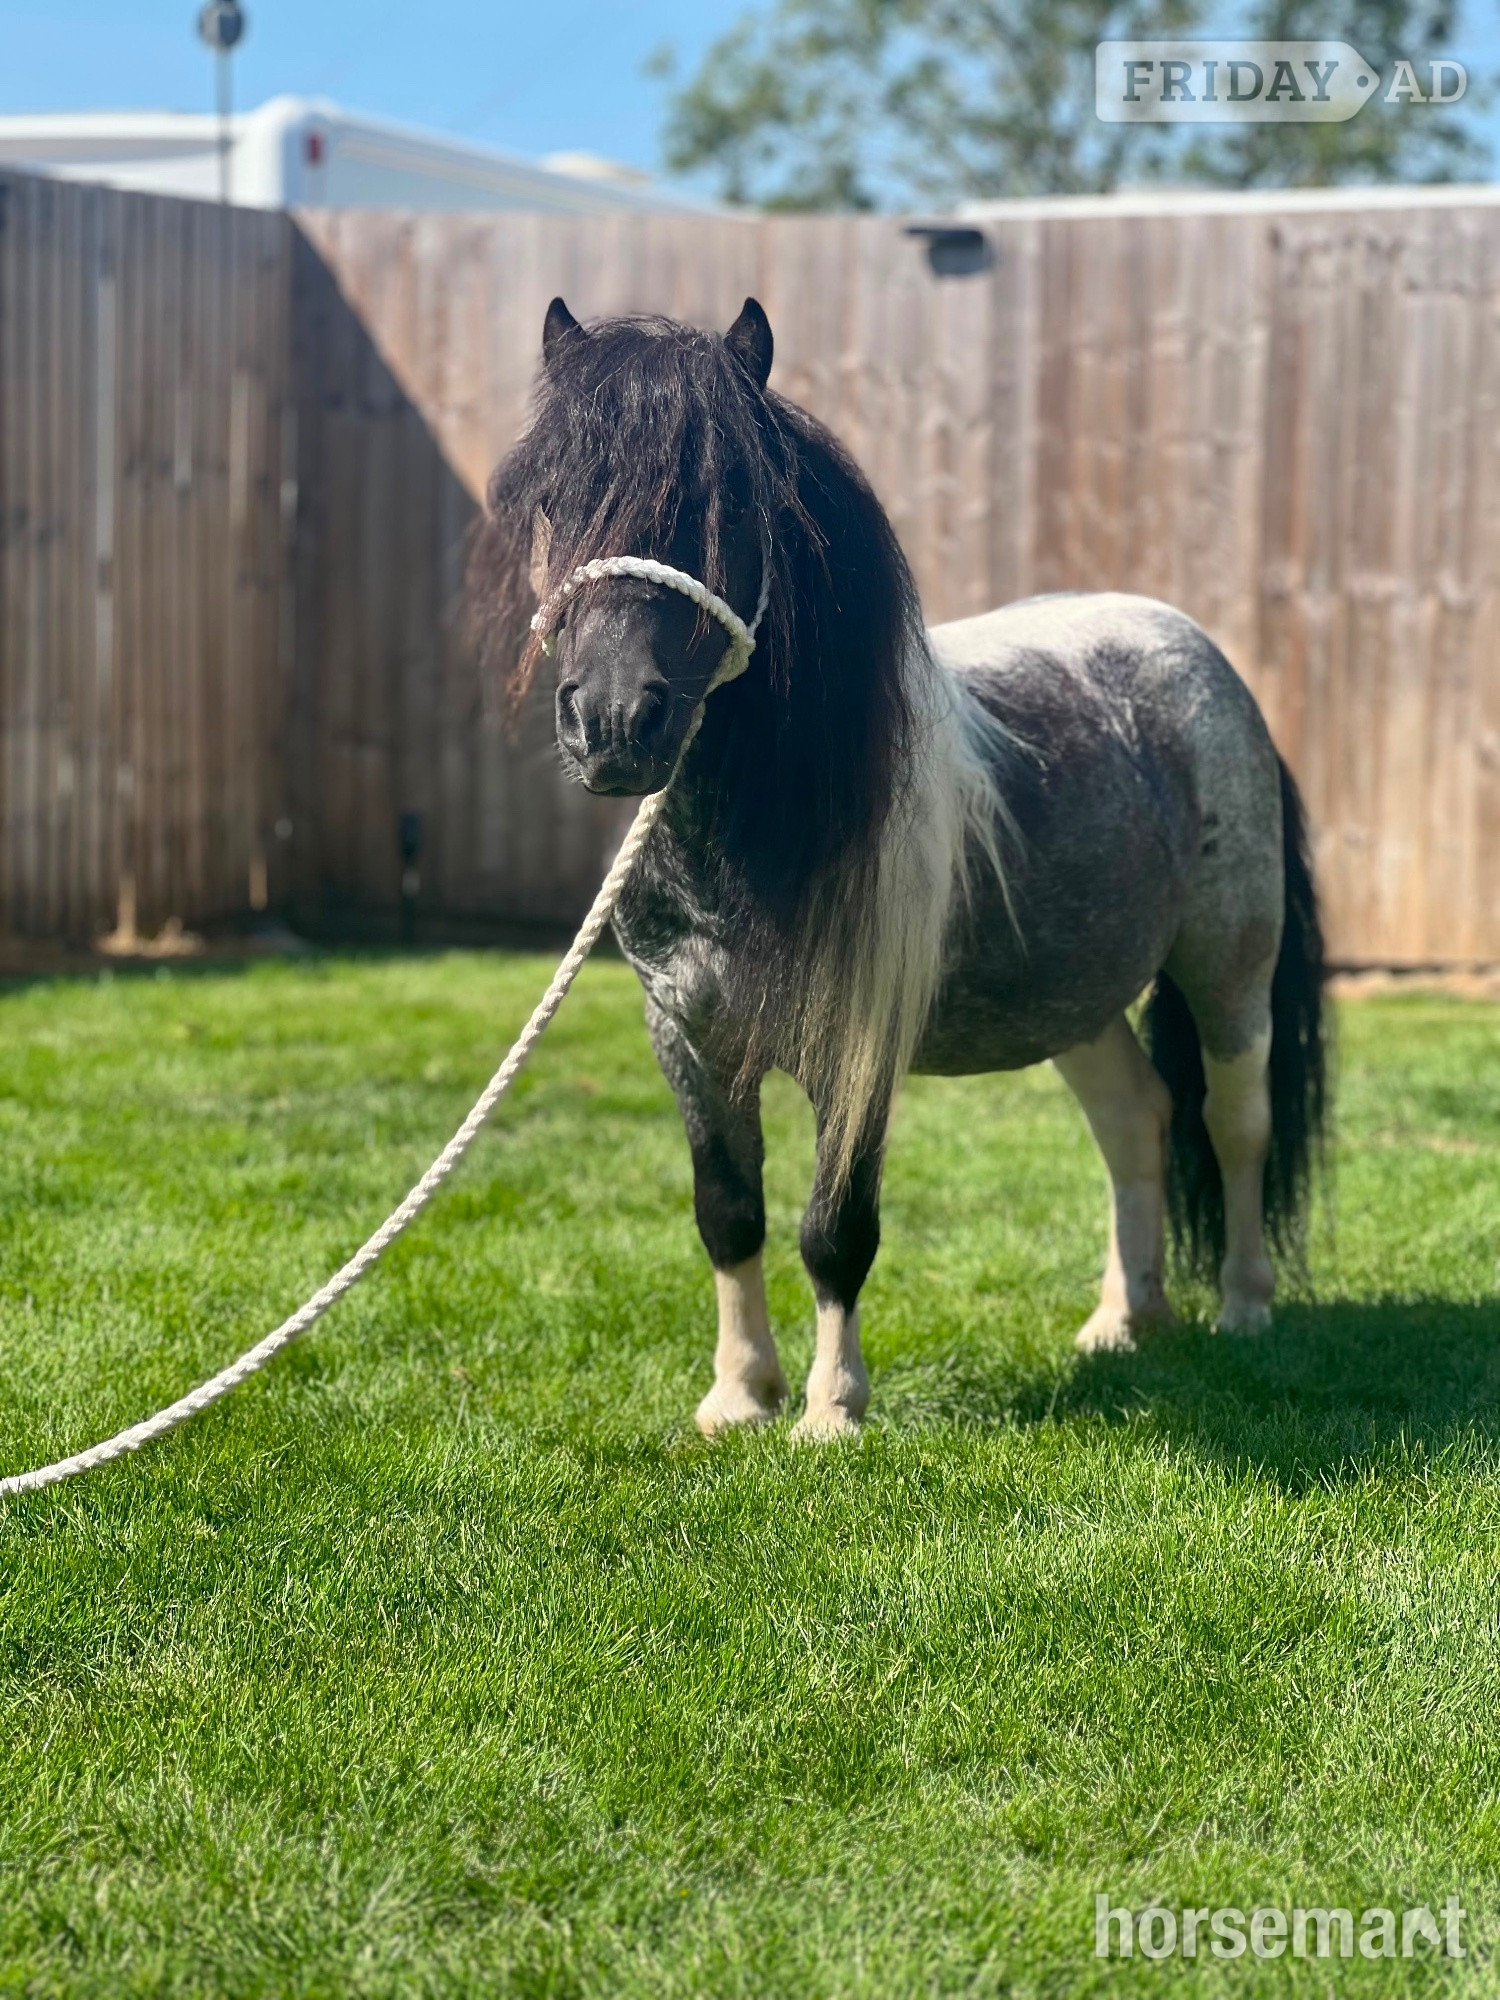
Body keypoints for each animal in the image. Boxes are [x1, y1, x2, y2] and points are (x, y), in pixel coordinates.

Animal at [470, 295, 1327, 1440]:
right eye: (553, 499)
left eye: (727, 502)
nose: (612, 723)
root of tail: (1199, 655)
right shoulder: (685, 1037)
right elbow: (727, 1212)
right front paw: (738, 1396)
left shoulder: (859, 1049)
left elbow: (836, 1227)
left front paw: (831, 1411)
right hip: (1075, 997)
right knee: (1135, 1119)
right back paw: (1124, 1321)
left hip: (1229, 971)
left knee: (1236, 1124)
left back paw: (1243, 1306)